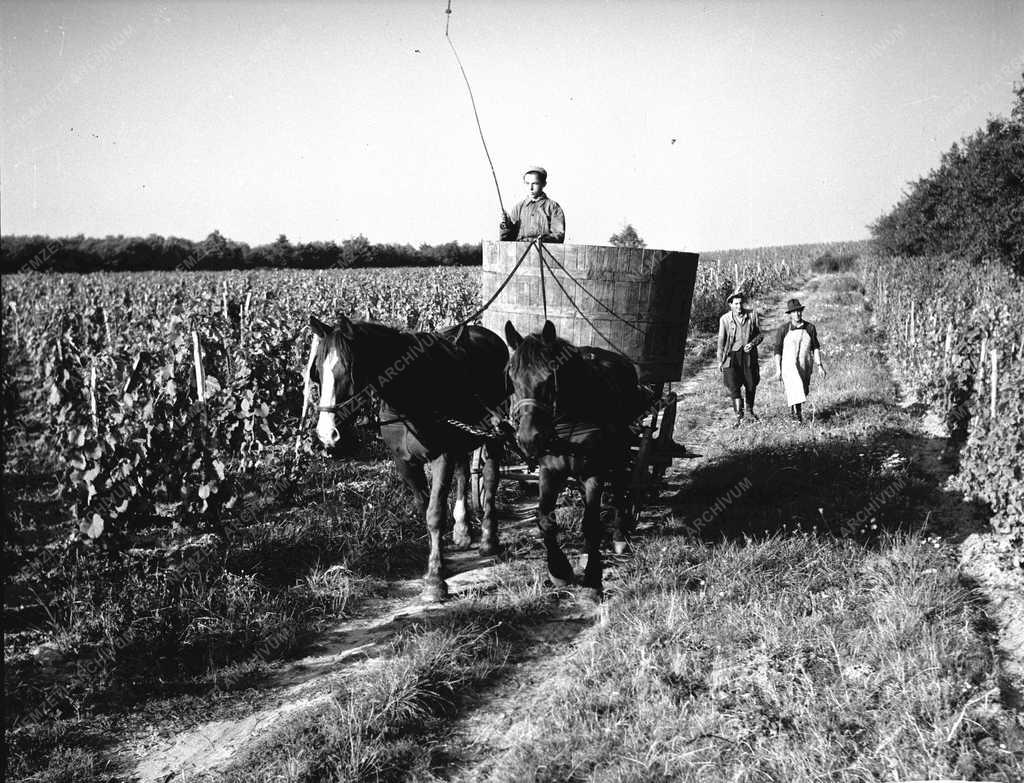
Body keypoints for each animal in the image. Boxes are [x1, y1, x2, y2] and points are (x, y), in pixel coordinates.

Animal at [307, 315, 507, 601]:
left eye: (348, 368)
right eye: (317, 372)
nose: (327, 434)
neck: (411, 394)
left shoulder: (441, 456)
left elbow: (435, 514)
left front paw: (435, 582)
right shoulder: (404, 463)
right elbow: (426, 510)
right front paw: (440, 562)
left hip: (494, 432)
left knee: (490, 479)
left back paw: (489, 540)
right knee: (463, 472)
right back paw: (463, 530)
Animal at [505, 317, 647, 597]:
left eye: (548, 378)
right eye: (512, 378)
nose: (528, 439)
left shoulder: (595, 472)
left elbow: (590, 523)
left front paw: (593, 577)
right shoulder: (550, 472)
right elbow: (545, 519)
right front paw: (558, 571)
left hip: (619, 454)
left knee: (619, 489)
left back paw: (618, 536)